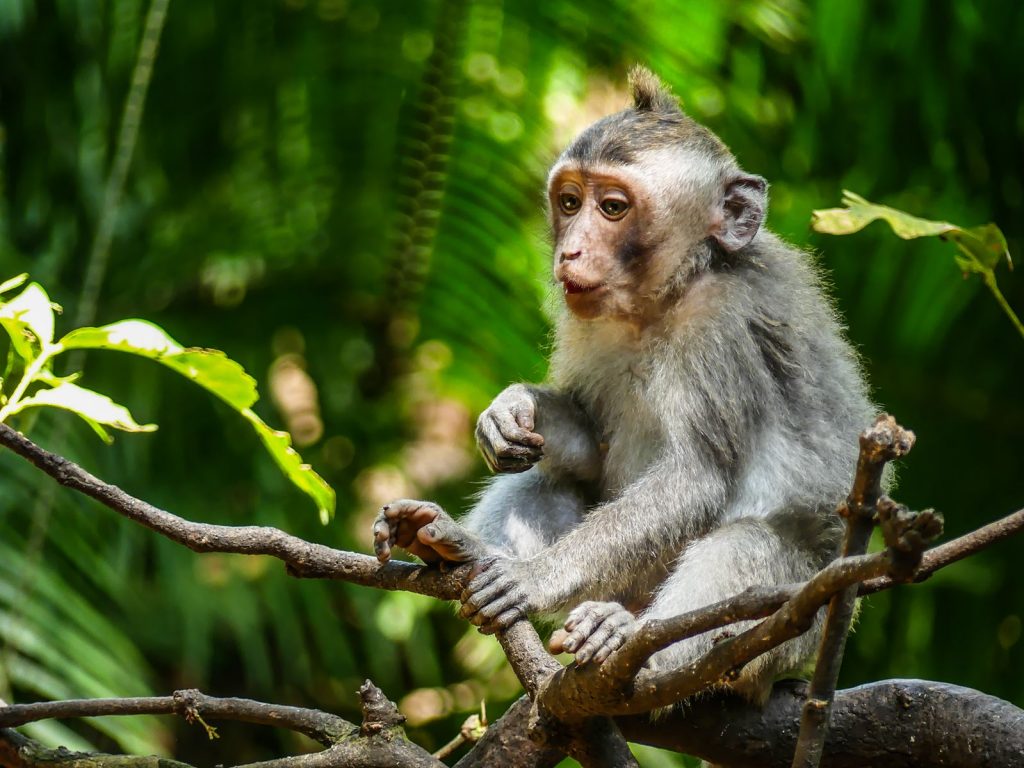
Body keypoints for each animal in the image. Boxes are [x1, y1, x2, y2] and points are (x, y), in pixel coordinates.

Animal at [372, 66, 874, 702]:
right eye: (569, 202)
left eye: (612, 207)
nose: (571, 251)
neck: (665, 299)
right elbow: (589, 446)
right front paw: (514, 408)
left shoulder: (722, 326)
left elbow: (694, 478)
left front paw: (534, 579)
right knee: (551, 477)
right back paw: (460, 544)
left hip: (792, 631)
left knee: (753, 542)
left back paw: (634, 642)